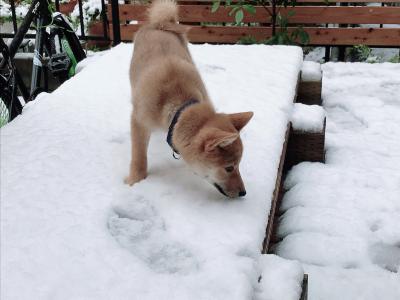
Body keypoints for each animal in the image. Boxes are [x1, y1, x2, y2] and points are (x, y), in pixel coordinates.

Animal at [125, 0, 253, 198]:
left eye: (238, 165)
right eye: (229, 168)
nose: (243, 193)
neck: (178, 103)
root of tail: (158, 24)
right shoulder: (139, 121)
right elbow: (139, 156)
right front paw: (136, 180)